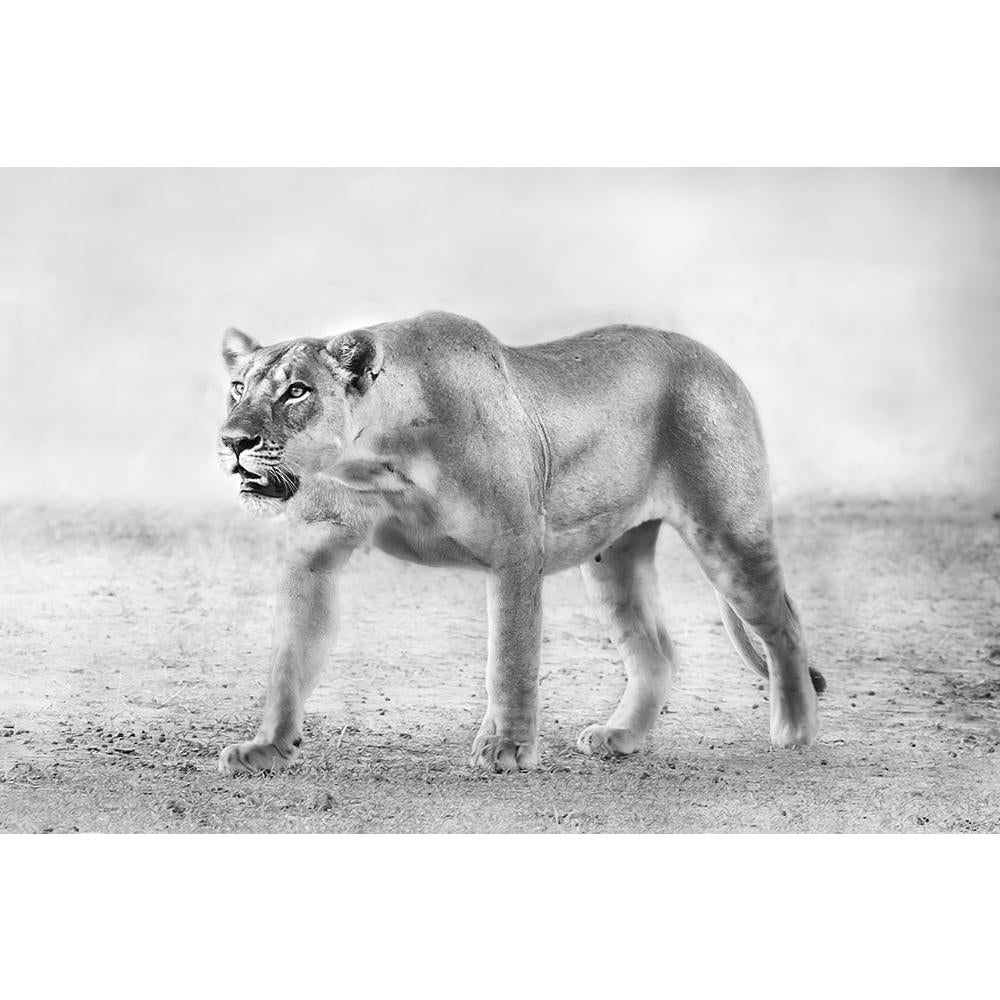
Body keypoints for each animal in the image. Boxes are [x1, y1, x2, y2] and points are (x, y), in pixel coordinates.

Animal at [216, 310, 824, 775]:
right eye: (238, 387)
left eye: (297, 391)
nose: (233, 440)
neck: (378, 462)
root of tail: (712, 356)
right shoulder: (314, 555)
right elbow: (289, 658)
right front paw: (268, 746)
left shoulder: (515, 548)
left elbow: (510, 656)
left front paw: (507, 747)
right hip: (611, 561)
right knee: (657, 653)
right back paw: (621, 737)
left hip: (727, 532)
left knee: (784, 626)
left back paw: (796, 729)